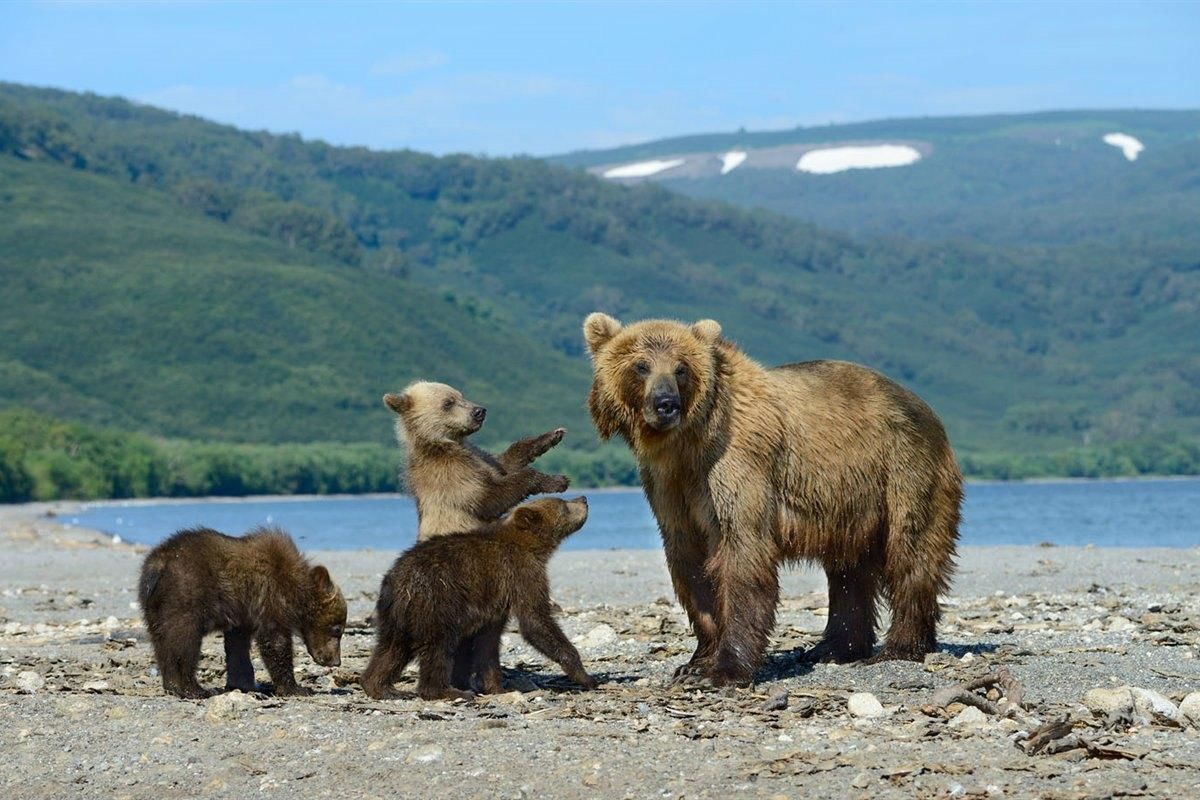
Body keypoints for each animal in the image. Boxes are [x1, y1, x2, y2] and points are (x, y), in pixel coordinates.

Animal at [583, 311, 964, 681]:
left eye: (681, 368)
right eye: (641, 365)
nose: (666, 404)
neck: (687, 444)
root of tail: (926, 407)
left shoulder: (736, 462)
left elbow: (742, 550)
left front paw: (724, 669)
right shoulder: (669, 485)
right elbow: (690, 562)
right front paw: (695, 662)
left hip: (904, 466)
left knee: (912, 550)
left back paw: (898, 647)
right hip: (851, 499)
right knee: (849, 569)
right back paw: (834, 648)